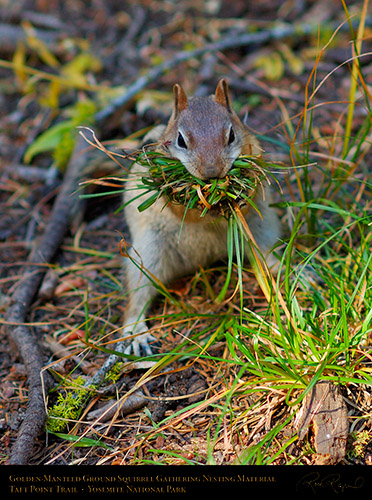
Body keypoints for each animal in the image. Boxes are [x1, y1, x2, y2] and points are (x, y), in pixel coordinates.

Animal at [123, 79, 280, 356]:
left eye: (231, 135)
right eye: (180, 140)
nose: (211, 172)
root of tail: (202, 261)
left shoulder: (255, 149)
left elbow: (254, 187)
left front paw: (238, 195)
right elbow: (183, 211)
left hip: (262, 233)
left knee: (266, 258)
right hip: (148, 255)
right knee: (138, 297)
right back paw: (136, 332)